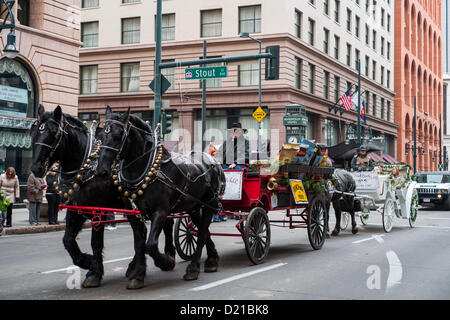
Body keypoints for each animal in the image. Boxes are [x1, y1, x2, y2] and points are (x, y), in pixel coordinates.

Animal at [30, 105, 175, 290]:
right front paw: (87, 261)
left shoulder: (98, 209)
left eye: (54, 133)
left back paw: (168, 257)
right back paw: (136, 266)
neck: (86, 164)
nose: (36, 168)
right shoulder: (76, 208)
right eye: (34, 132)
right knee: (143, 232)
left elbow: (96, 242)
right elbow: (68, 240)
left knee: (160, 226)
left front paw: (94, 272)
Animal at [97, 107, 227, 280]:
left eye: (118, 135)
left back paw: (193, 267)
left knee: (202, 232)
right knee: (202, 230)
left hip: (210, 204)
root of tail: (214, 162)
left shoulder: (160, 211)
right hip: (193, 206)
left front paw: (166, 261)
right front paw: (138, 273)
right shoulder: (133, 214)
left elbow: (150, 245)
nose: (102, 170)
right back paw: (212, 258)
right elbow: (139, 244)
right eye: (100, 136)